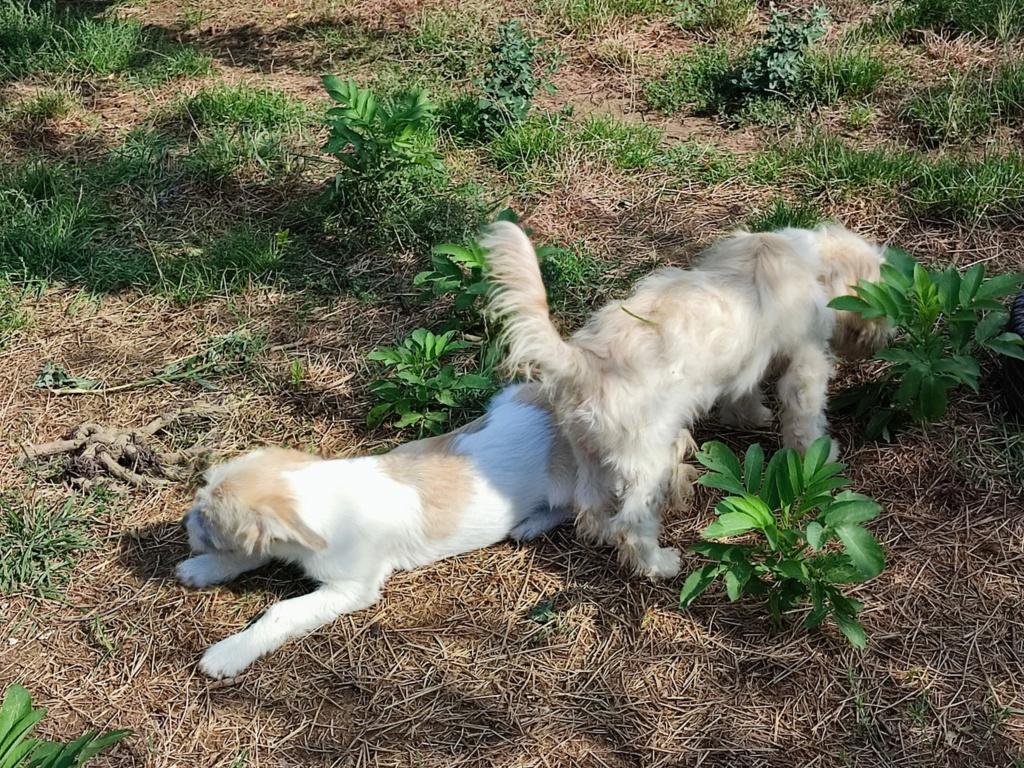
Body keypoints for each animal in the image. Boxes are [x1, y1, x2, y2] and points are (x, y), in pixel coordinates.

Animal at [177, 385, 577, 679]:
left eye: (209, 521)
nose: (182, 523)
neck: (328, 498)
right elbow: (249, 554)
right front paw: (202, 568)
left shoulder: (351, 589)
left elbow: (281, 611)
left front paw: (229, 653)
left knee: (570, 508)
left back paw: (532, 524)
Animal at [479, 219, 888, 581]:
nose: (887, 336)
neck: (808, 257)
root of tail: (582, 364)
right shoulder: (806, 365)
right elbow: (806, 421)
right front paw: (821, 455)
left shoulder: (747, 364)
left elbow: (744, 394)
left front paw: (752, 415)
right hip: (648, 462)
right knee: (631, 524)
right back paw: (659, 565)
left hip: (590, 453)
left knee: (590, 506)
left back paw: (603, 535)